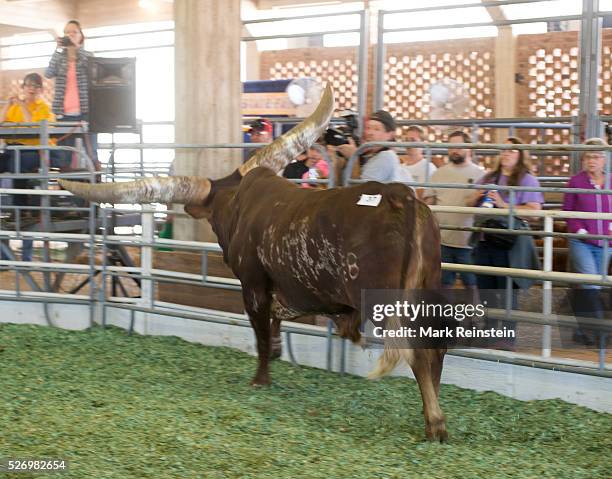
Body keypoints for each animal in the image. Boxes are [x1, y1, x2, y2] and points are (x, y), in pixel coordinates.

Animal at [58, 85, 444, 442]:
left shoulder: (253, 285)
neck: (241, 202)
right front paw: (275, 355)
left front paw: (260, 379)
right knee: (435, 350)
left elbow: (259, 332)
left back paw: (435, 424)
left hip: (386, 302)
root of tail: (401, 197)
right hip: (427, 292)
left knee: (418, 353)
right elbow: (272, 328)